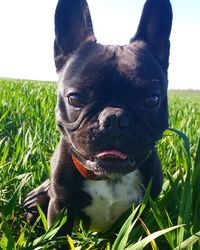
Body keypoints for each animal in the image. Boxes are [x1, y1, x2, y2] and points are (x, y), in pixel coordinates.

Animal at [24, 0, 173, 247]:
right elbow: (59, 237)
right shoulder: (60, 207)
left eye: (152, 100)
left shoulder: (142, 211)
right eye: (75, 98)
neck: (109, 178)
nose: (114, 118)